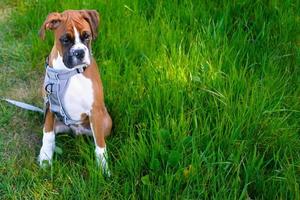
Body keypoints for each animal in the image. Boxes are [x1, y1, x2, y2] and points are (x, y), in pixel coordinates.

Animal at [37, 9, 112, 175]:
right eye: (65, 39)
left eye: (87, 36)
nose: (79, 53)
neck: (69, 72)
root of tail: (76, 130)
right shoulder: (50, 105)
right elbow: (47, 134)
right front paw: (45, 157)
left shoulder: (95, 110)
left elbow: (100, 145)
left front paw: (103, 168)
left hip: (106, 122)